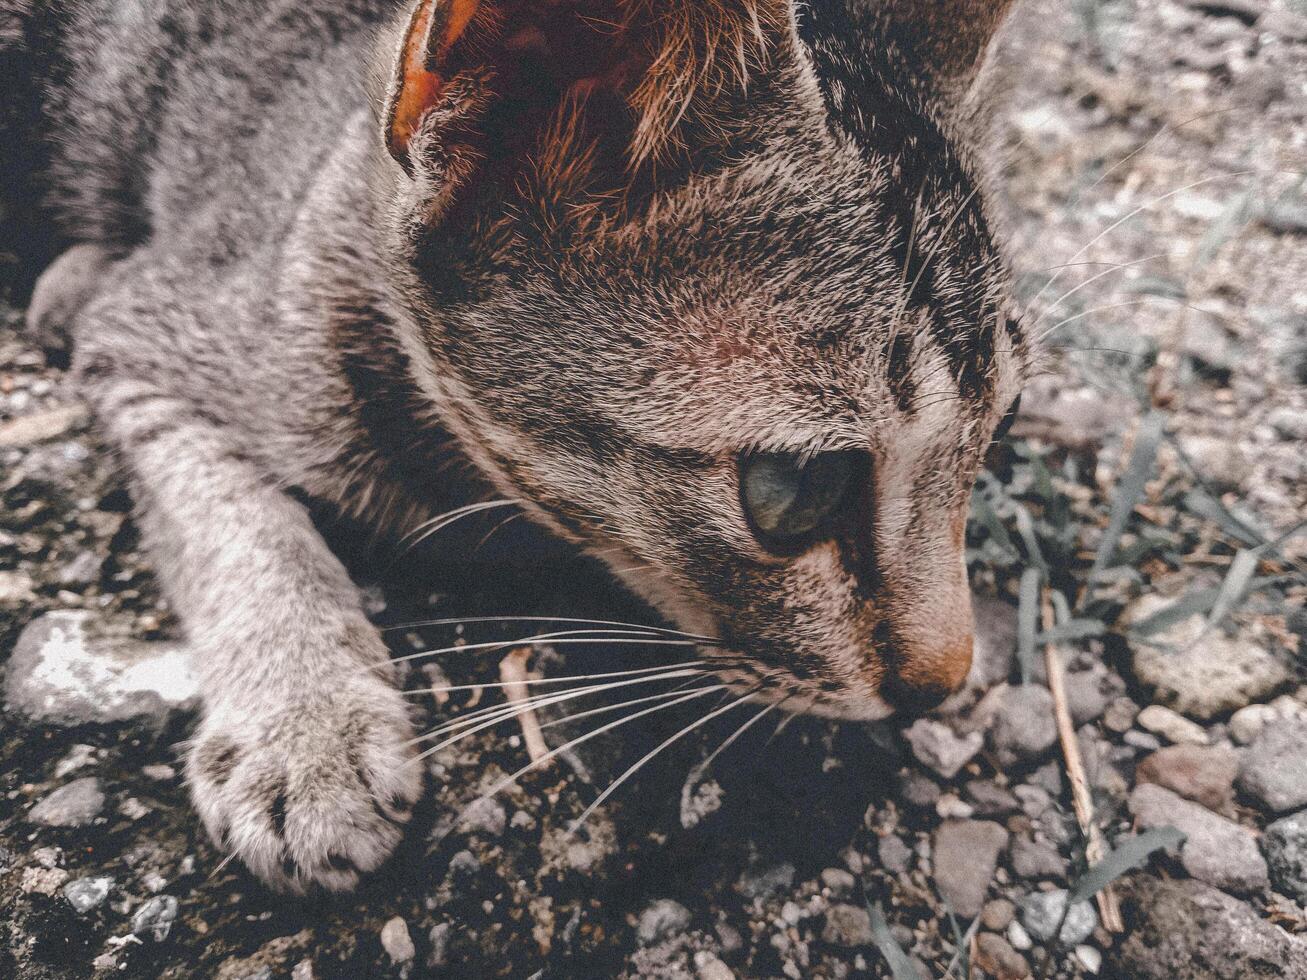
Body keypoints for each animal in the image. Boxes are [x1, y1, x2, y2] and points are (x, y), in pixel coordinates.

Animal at [5, 0, 1029, 888]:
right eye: (796, 487)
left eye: (1001, 426)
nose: (944, 683)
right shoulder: (143, 335)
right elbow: (235, 524)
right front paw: (306, 723)